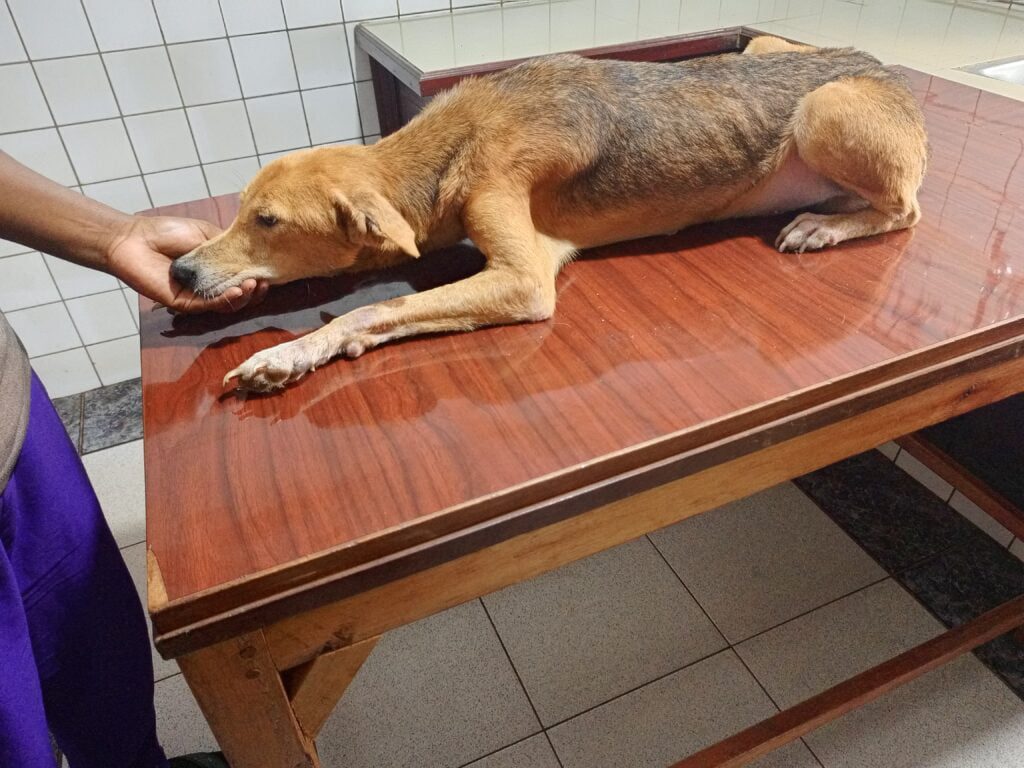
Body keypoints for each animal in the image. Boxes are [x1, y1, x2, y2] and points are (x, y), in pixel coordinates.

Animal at [174, 34, 929, 391]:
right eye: (240, 209)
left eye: (268, 222)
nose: (179, 272)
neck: (445, 149)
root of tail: (886, 66)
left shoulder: (523, 279)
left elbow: (375, 308)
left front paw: (291, 352)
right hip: (761, 49)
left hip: (824, 110)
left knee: (905, 210)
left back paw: (826, 224)